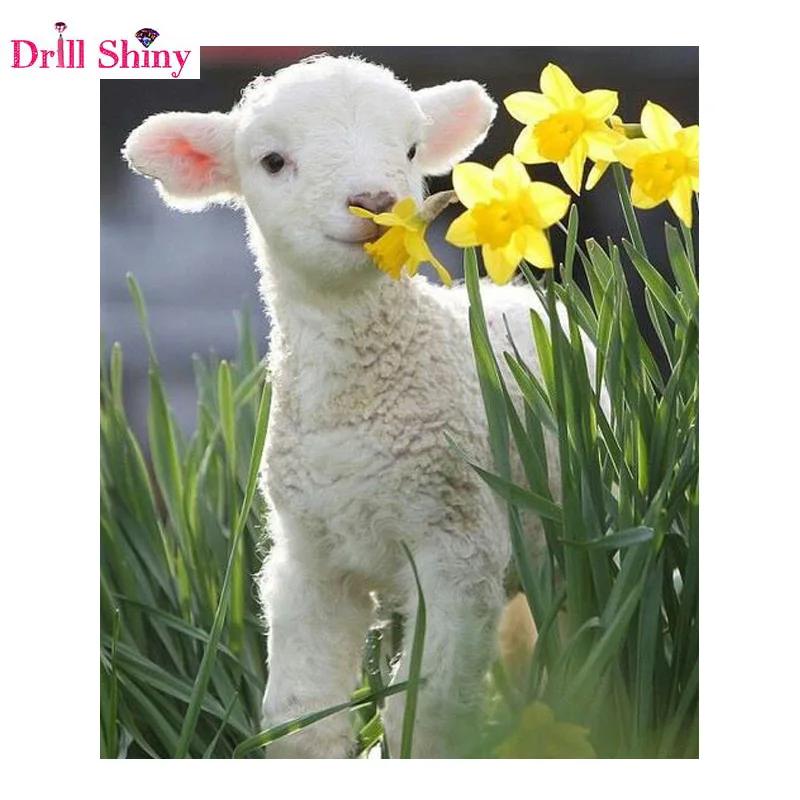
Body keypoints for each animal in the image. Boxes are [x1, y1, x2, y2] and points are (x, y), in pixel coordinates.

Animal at [123, 54, 564, 758]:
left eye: (410, 149)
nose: (378, 203)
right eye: (273, 160)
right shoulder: (310, 560)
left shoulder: (458, 549)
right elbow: (300, 721)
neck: (358, 406)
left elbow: (427, 715)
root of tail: (514, 292)